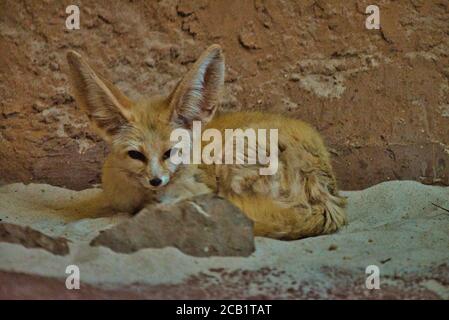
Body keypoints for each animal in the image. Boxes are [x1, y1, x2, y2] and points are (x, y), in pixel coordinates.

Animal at [66, 43, 346, 239]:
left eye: (171, 152)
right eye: (136, 155)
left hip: (233, 156)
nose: (156, 180)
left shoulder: (199, 189)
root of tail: (329, 203)